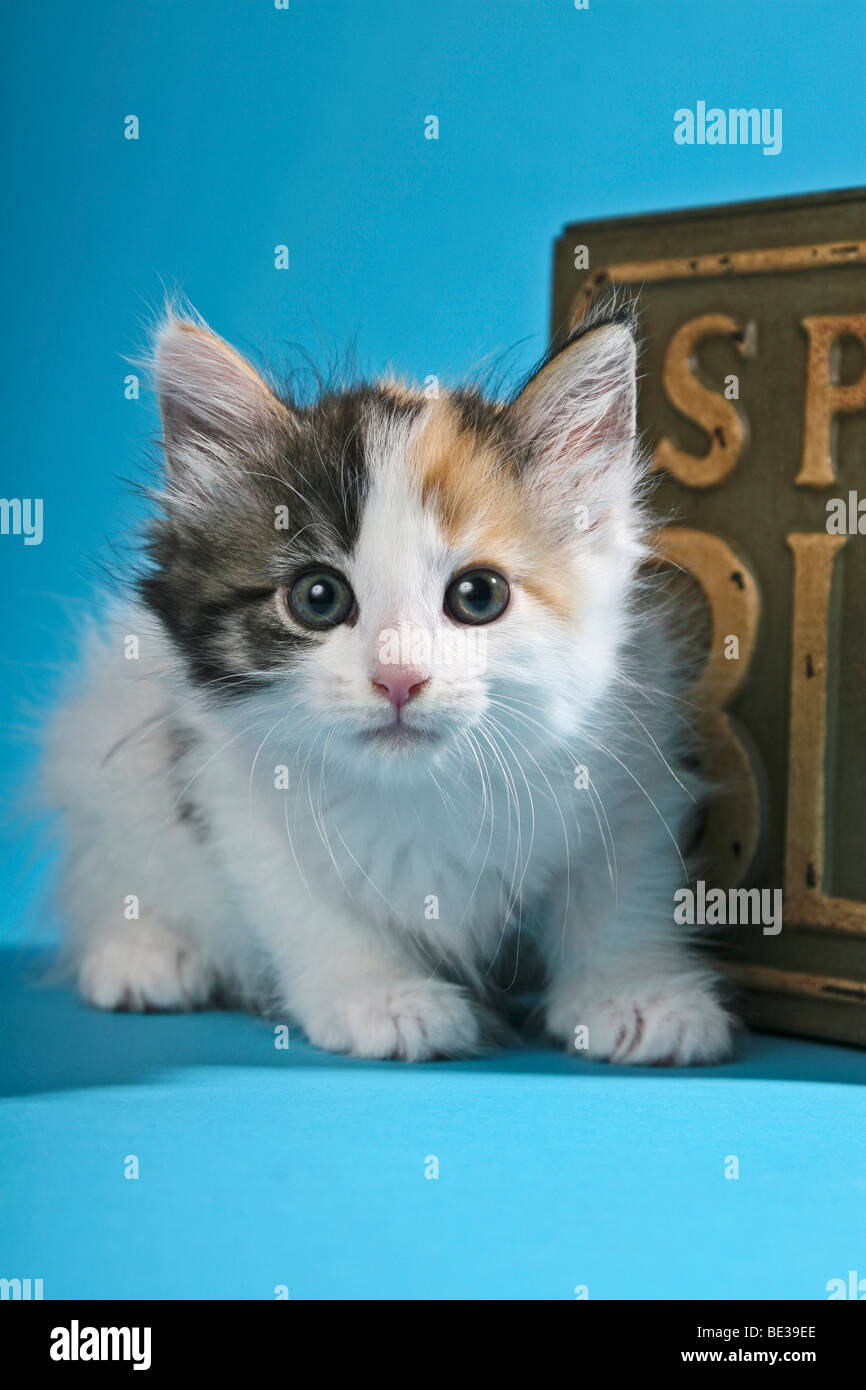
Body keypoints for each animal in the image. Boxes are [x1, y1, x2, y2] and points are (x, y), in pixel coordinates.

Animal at [44, 307, 733, 1061]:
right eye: (317, 598)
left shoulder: (630, 750)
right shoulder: (223, 777)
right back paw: (144, 952)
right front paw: (380, 995)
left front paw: (635, 991)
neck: (422, 786)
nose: (399, 678)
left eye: (479, 595)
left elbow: (622, 887)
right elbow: (301, 902)